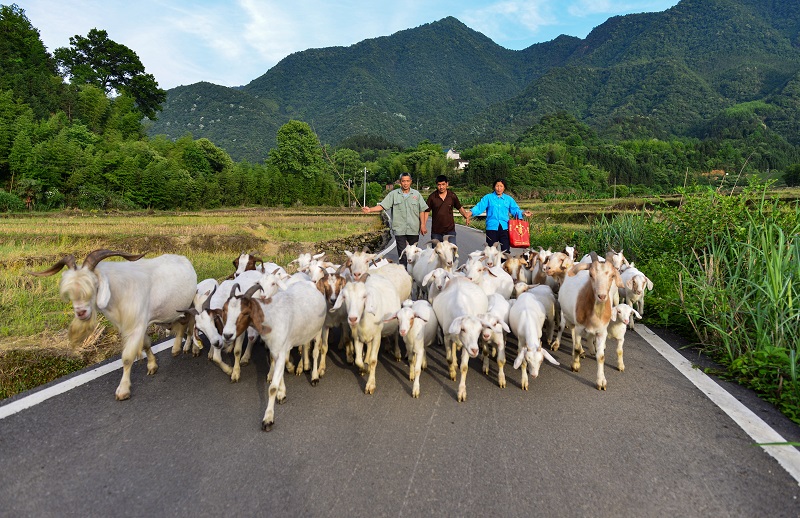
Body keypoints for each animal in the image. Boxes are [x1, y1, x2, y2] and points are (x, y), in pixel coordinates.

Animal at [34, 252, 197, 402]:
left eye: (95, 285)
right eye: (71, 292)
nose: (81, 312)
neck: (119, 292)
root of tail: (183, 258)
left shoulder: (137, 324)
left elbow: (127, 357)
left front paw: (123, 390)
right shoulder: (135, 324)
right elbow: (145, 344)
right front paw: (152, 366)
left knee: (189, 326)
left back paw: (186, 347)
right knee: (182, 326)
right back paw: (176, 349)